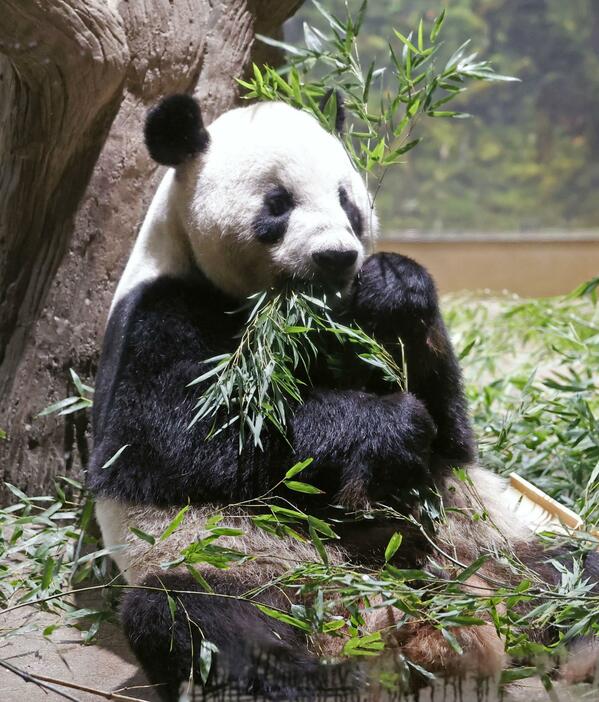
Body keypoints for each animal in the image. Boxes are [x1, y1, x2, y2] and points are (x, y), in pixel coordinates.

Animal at [88, 95, 596, 702]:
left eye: (346, 200)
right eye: (278, 203)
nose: (336, 256)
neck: (286, 311)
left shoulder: (344, 328)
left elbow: (449, 436)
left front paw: (395, 287)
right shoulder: (157, 315)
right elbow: (167, 443)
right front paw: (385, 425)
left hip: (487, 545)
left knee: (570, 569)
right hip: (234, 564)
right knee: (200, 623)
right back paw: (327, 678)